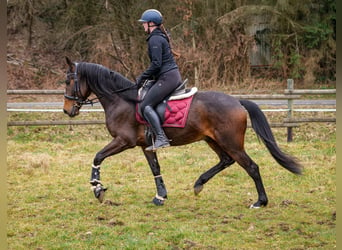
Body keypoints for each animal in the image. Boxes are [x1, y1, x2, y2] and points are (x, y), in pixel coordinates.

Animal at [62, 57, 302, 208]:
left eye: (68, 81)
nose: (67, 110)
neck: (121, 99)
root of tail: (237, 101)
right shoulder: (145, 145)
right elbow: (155, 169)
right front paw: (160, 196)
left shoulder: (124, 141)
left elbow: (98, 157)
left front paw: (97, 188)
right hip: (213, 140)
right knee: (226, 161)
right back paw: (199, 184)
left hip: (231, 142)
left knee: (251, 167)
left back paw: (260, 201)